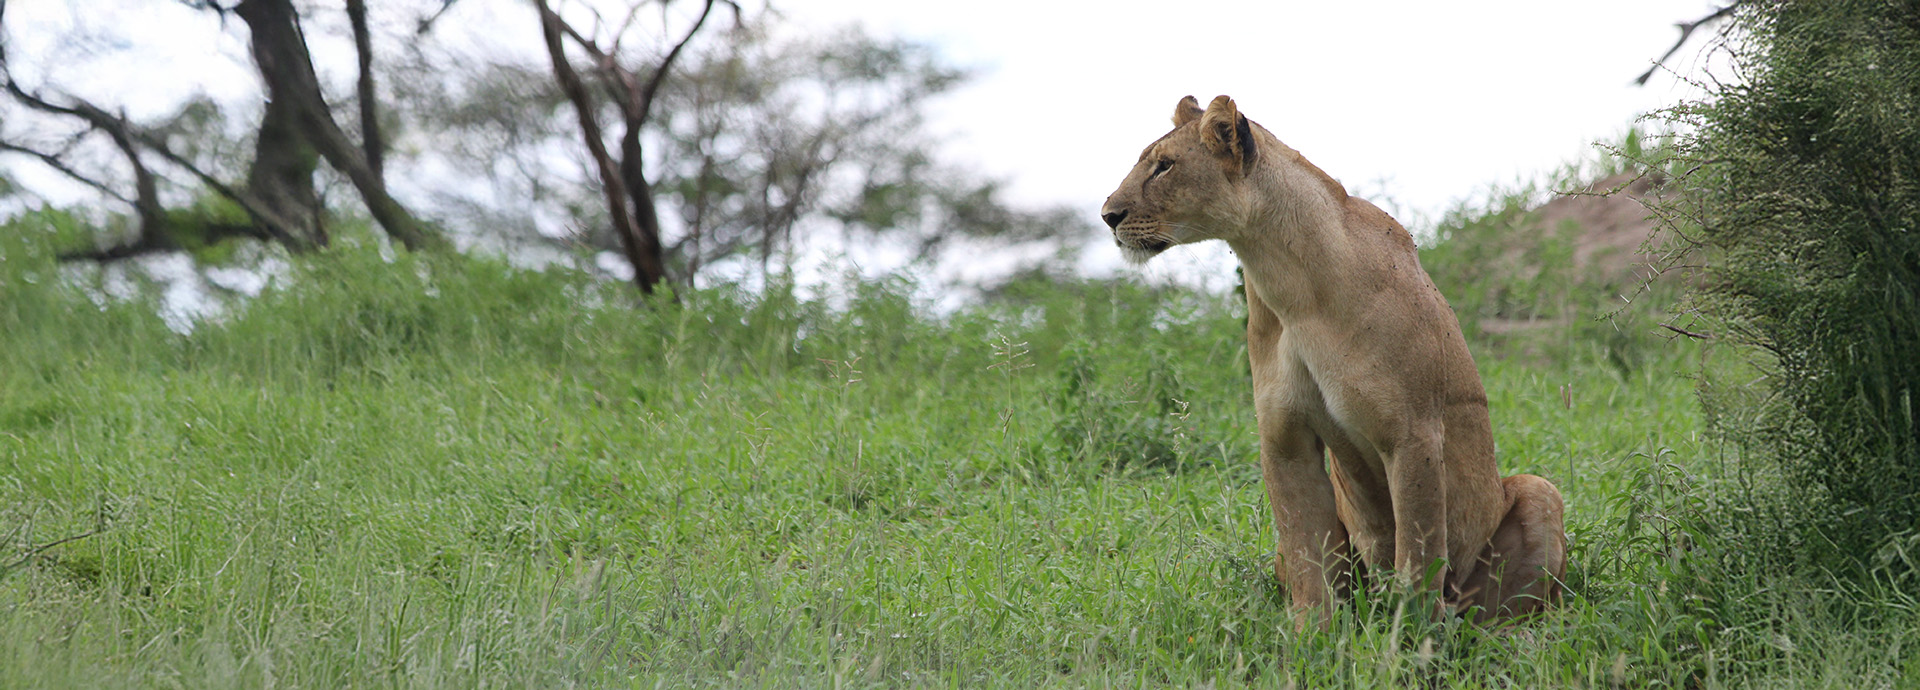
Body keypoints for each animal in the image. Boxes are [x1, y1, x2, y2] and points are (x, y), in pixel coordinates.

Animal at [1099, 95, 1566, 625]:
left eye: (1164, 166)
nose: (1108, 215)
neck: (1287, 281)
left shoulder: (1413, 433)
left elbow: (1418, 555)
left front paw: (1408, 639)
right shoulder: (1284, 437)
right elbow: (1308, 553)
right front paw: (1310, 636)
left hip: (1538, 492)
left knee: (1506, 611)